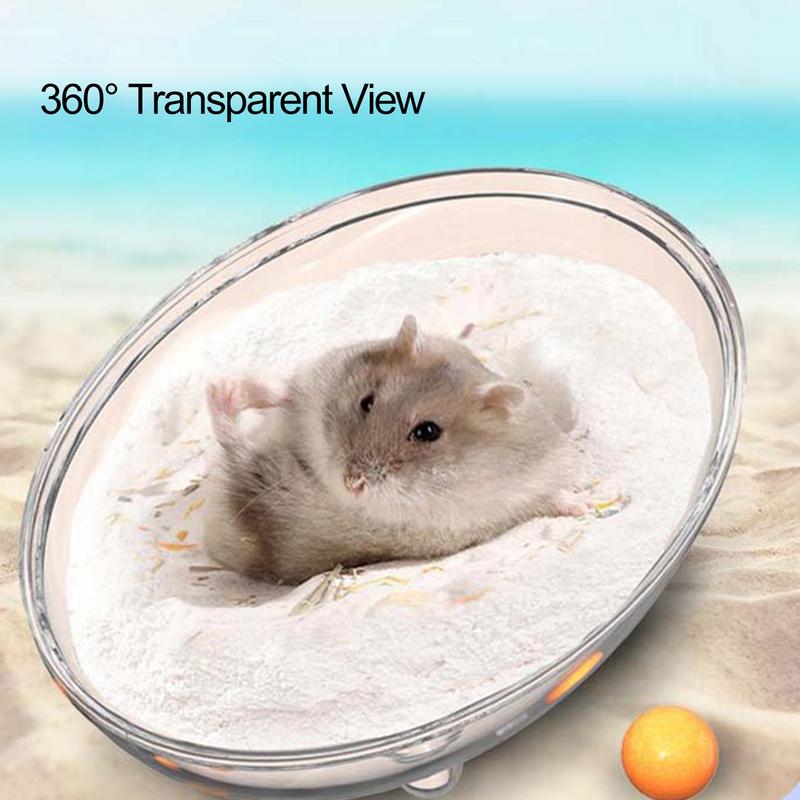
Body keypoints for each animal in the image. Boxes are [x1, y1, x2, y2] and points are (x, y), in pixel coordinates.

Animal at [204, 315, 582, 584]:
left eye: (428, 432)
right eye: (366, 402)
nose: (351, 484)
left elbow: (549, 498)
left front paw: (581, 504)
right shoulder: (316, 388)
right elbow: (286, 394)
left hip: (270, 488)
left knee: (235, 447)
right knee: (268, 402)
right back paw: (223, 386)